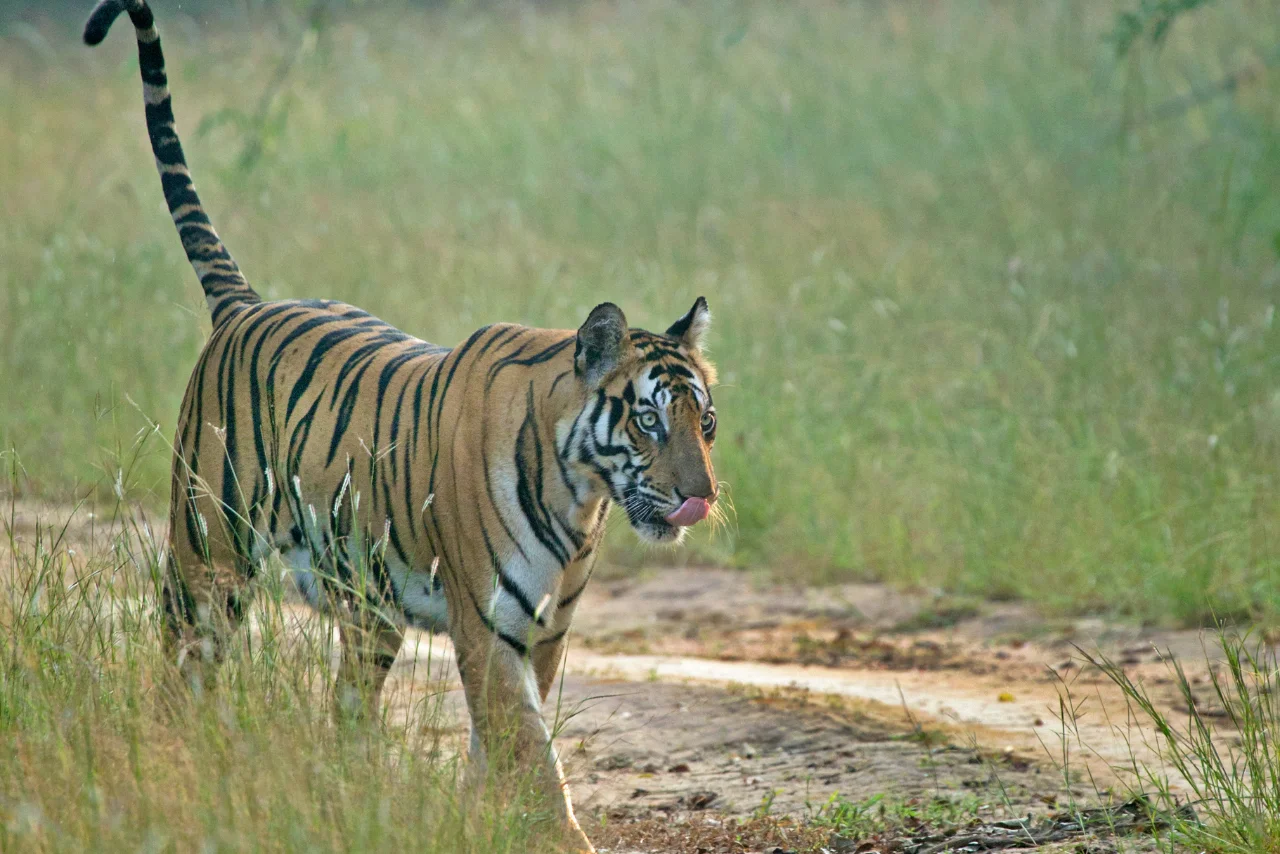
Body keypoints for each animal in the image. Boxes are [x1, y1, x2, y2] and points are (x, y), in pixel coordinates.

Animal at [83, 2, 720, 850]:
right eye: (648, 421)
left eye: (705, 423)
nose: (700, 497)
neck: (580, 494)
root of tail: (245, 305)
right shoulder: (489, 627)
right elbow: (531, 750)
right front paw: (552, 834)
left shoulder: (543, 634)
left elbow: (501, 745)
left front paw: (487, 822)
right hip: (206, 559)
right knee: (181, 676)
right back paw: (168, 770)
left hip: (367, 612)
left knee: (345, 713)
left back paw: (344, 795)